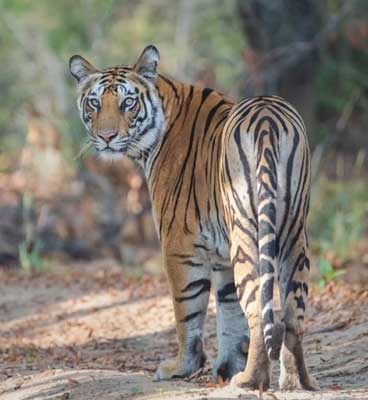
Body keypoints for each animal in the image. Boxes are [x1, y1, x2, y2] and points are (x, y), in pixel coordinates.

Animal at [69, 44, 320, 390]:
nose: (106, 137)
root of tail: (267, 117)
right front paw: (227, 365)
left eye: (127, 102)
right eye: (94, 103)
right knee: (292, 316)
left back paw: (248, 380)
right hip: (293, 233)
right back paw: (296, 382)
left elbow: (187, 310)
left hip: (247, 231)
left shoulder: (180, 245)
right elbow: (228, 310)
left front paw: (182, 367)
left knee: (258, 311)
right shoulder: (221, 254)